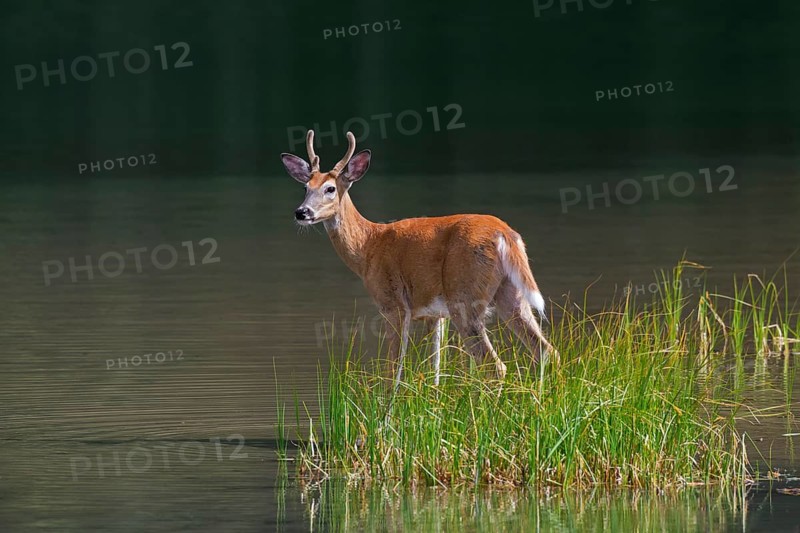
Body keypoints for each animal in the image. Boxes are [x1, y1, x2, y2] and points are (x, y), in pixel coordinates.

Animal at [281, 130, 556, 388]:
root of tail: (504, 234)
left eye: (330, 188)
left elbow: (393, 372)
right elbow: (435, 372)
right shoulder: (435, 316)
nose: (301, 212)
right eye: (305, 187)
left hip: (465, 297)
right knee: (545, 350)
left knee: (494, 365)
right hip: (510, 293)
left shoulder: (394, 305)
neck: (368, 246)